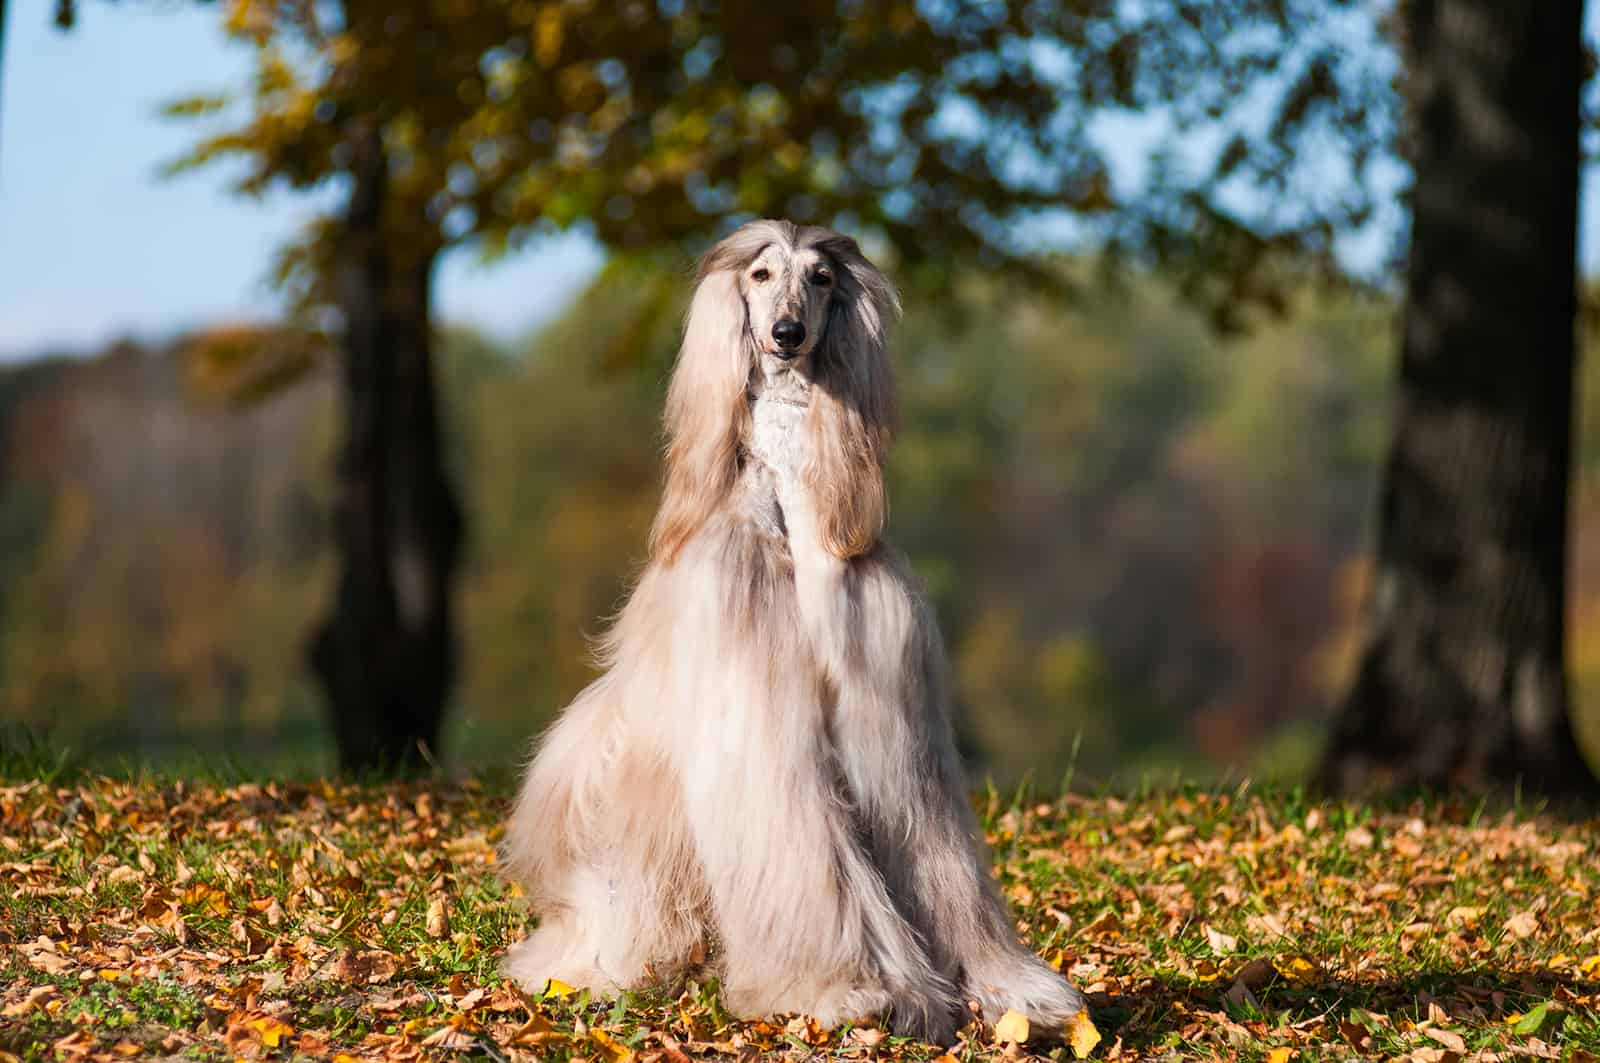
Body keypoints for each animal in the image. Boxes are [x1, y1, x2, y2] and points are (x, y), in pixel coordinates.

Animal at [492, 219, 1081, 1043]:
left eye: (822, 278)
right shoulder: (756, 709)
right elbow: (800, 847)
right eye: (762, 274)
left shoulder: (888, 715)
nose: (786, 335)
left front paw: (1009, 992)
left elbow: (933, 856)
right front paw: (844, 986)